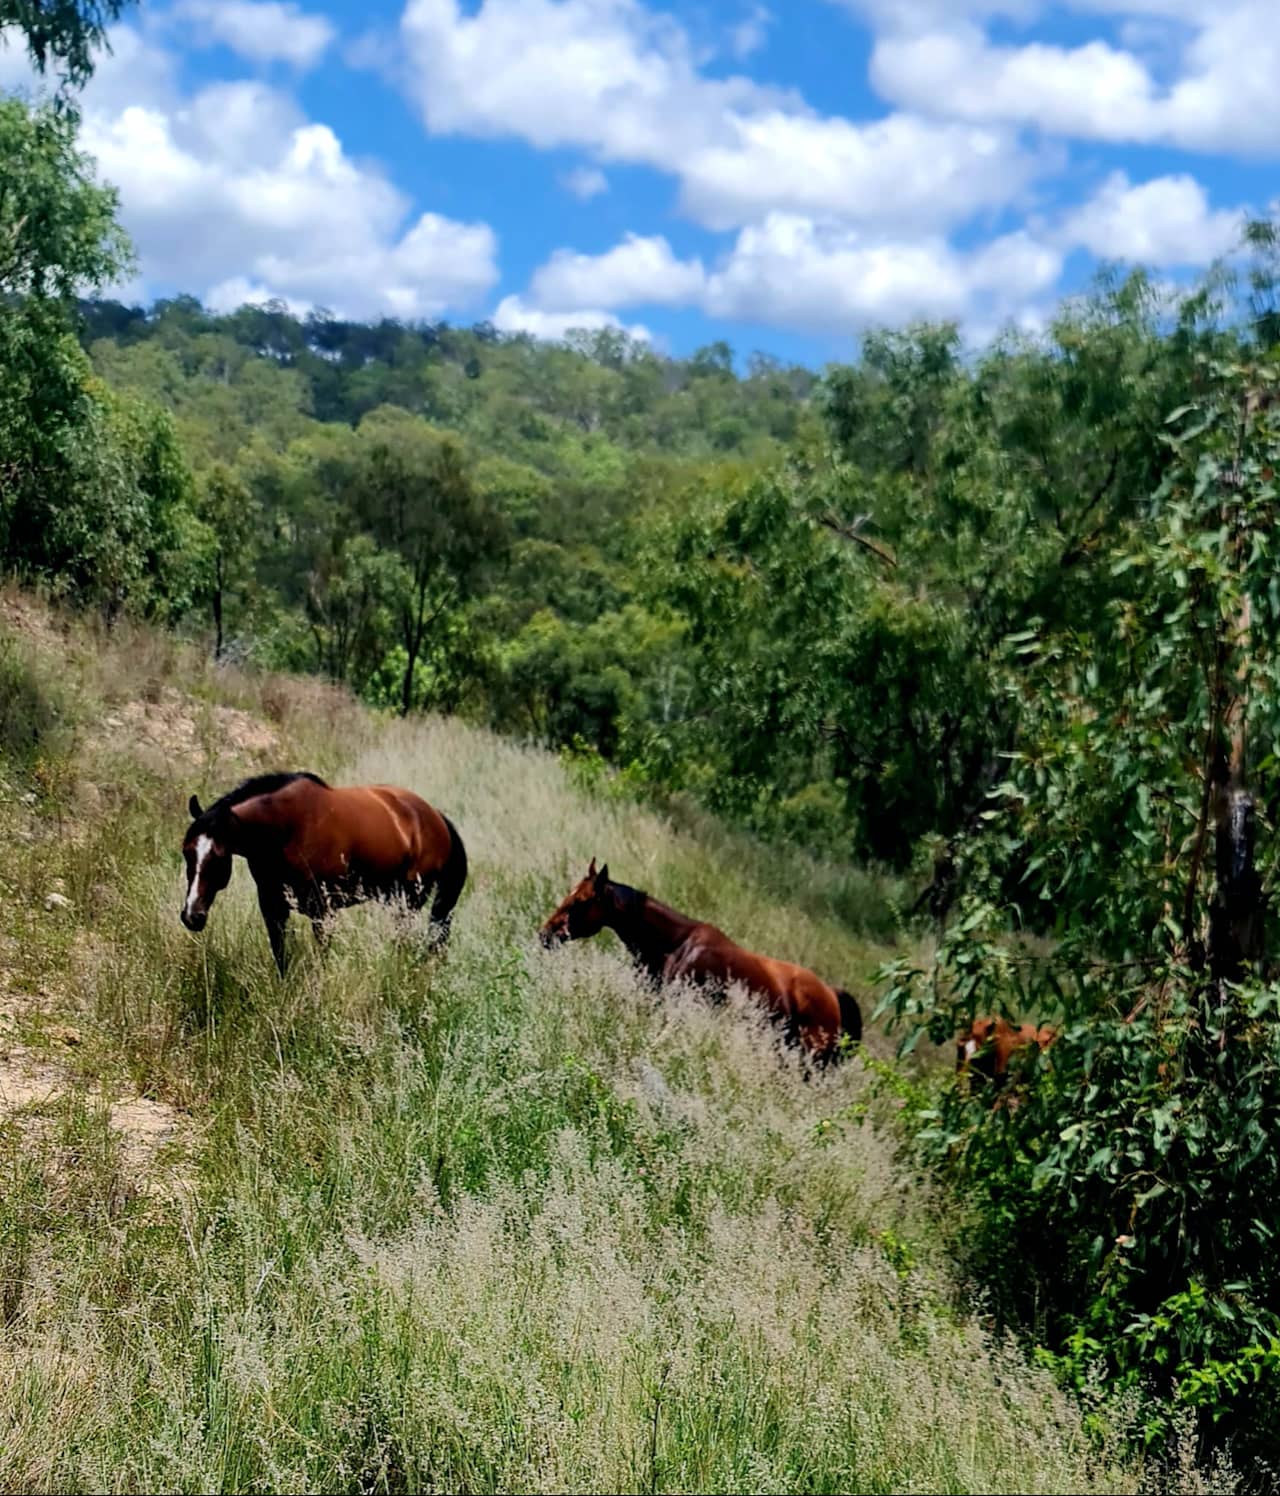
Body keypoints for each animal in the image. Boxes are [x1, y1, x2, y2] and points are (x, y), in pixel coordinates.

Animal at [177, 777, 463, 975]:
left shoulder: (323, 912)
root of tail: (435, 817)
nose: (192, 915)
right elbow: (281, 958)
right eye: (187, 851)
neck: (289, 829)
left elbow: (321, 958)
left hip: (410, 901)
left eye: (218, 856)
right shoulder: (273, 909)